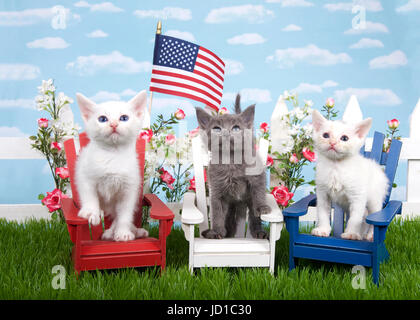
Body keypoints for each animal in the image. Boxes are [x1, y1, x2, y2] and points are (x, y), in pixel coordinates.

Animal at [75, 89, 149, 240]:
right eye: (102, 119)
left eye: (124, 118)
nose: (114, 124)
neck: (113, 155)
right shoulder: (84, 176)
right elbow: (89, 195)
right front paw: (91, 212)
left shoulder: (129, 189)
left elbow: (125, 215)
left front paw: (123, 232)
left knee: (118, 216)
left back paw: (128, 231)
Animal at [195, 94, 270, 239]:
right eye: (216, 128)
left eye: (236, 128)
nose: (225, 133)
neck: (230, 161)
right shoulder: (217, 189)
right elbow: (217, 212)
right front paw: (217, 231)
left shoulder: (257, 176)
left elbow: (258, 192)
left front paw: (262, 207)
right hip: (231, 207)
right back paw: (220, 233)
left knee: (253, 217)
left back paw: (258, 232)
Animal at [310, 109, 388, 240]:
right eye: (325, 135)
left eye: (344, 138)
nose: (332, 142)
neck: (336, 167)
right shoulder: (322, 194)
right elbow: (323, 213)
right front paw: (323, 230)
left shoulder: (358, 196)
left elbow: (355, 218)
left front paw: (351, 233)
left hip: (375, 199)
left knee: (373, 216)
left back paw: (370, 235)